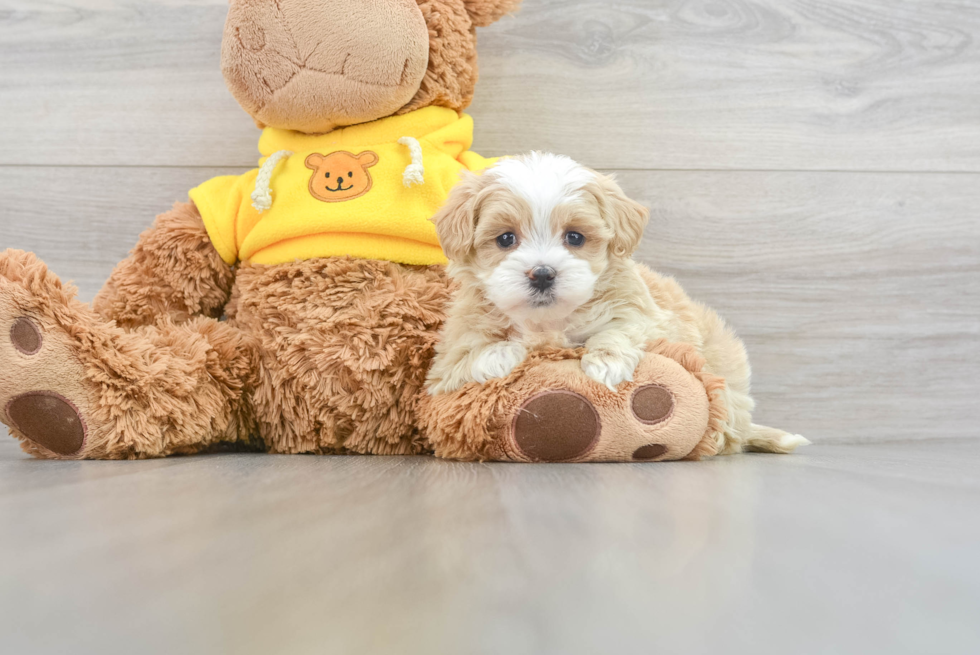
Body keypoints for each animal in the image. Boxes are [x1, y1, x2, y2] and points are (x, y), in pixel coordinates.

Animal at [424, 152, 808, 456]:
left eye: (575, 237)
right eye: (506, 238)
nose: (543, 274)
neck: (549, 323)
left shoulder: (648, 316)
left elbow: (621, 327)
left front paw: (607, 362)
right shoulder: (445, 363)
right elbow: (472, 355)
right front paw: (502, 352)